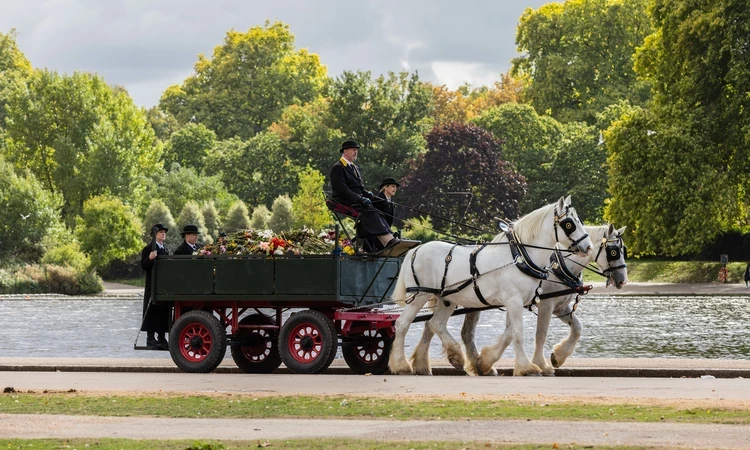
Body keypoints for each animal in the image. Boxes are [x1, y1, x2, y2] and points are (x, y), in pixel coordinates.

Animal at [388, 197, 592, 376]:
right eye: (569, 224)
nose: (588, 247)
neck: (520, 256)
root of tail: (416, 249)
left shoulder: (516, 303)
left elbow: (509, 333)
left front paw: (485, 362)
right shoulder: (514, 301)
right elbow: (518, 333)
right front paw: (527, 367)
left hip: (446, 299)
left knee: (434, 323)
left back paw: (453, 357)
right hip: (419, 295)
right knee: (402, 324)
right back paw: (401, 365)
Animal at [462, 222, 632, 376]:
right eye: (614, 251)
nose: (623, 280)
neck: (560, 266)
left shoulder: (560, 307)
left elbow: (577, 328)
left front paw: (559, 356)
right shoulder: (545, 304)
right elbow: (540, 333)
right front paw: (540, 364)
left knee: (466, 332)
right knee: (467, 333)